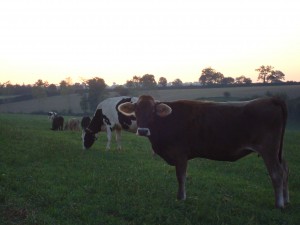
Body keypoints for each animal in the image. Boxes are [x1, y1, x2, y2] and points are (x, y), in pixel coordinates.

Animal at [118, 95, 290, 209]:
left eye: (153, 111)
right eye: (136, 111)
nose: (142, 130)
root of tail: (271, 100)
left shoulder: (180, 154)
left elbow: (181, 177)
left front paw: (181, 198)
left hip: (269, 149)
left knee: (276, 173)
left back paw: (279, 204)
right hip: (279, 152)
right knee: (285, 171)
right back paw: (286, 200)